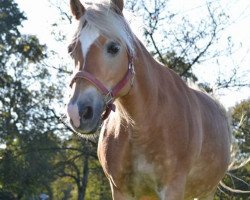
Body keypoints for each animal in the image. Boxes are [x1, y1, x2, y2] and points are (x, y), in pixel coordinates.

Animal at [66, 0, 230, 198]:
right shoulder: (120, 190)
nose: (78, 112)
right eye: (71, 50)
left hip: (205, 192)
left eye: (114, 48)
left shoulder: (172, 188)